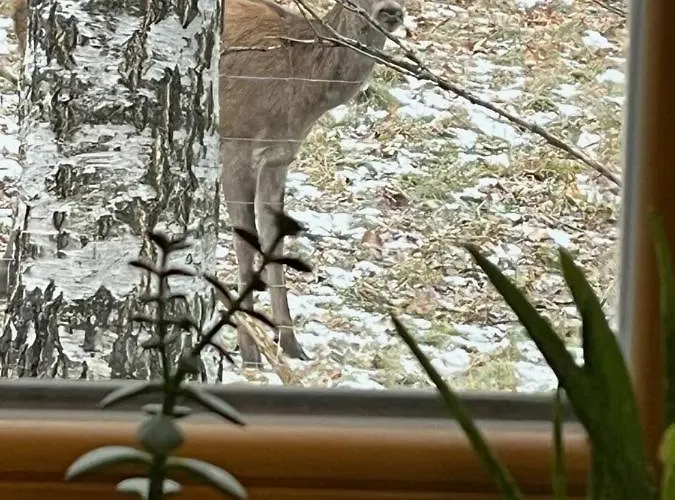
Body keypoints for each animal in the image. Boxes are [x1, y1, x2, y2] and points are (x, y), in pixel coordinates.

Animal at [10, 0, 405, 367]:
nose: (391, 11)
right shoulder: (234, 145)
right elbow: (246, 245)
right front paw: (251, 353)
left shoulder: (280, 156)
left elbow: (273, 242)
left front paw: (291, 346)